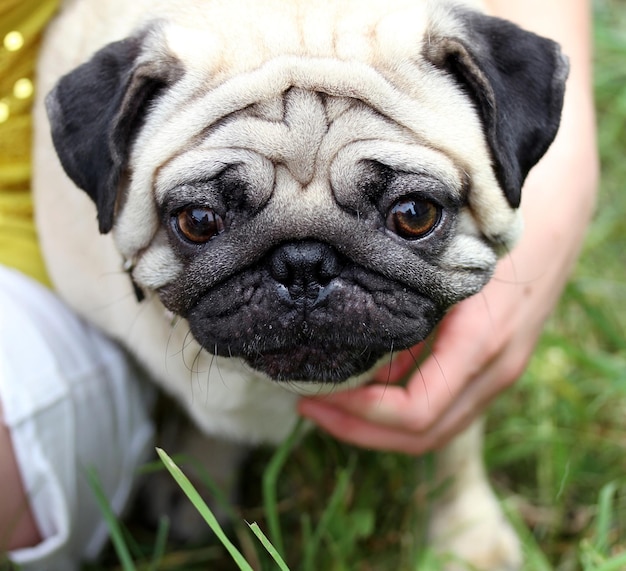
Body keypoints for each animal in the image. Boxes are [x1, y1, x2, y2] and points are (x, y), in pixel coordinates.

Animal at [33, 1, 564, 568]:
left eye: (414, 214)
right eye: (198, 220)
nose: (303, 264)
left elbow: (453, 442)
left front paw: (465, 539)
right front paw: (198, 477)